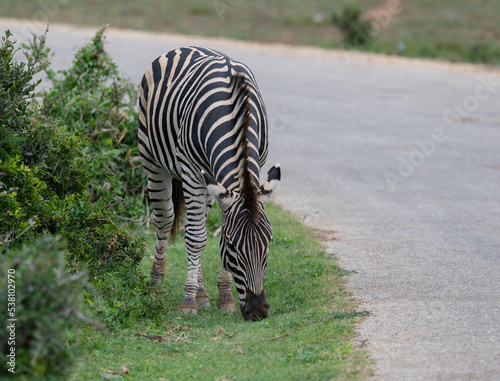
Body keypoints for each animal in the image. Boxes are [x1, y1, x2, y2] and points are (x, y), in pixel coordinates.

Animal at [138, 46, 282, 320]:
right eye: (234, 246)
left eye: (269, 242)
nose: (258, 310)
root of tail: (183, 47)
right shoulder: (191, 171)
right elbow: (196, 237)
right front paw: (187, 302)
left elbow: (209, 234)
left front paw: (223, 296)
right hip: (152, 161)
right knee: (166, 219)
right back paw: (155, 284)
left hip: (208, 183)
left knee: (195, 222)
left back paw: (202, 293)